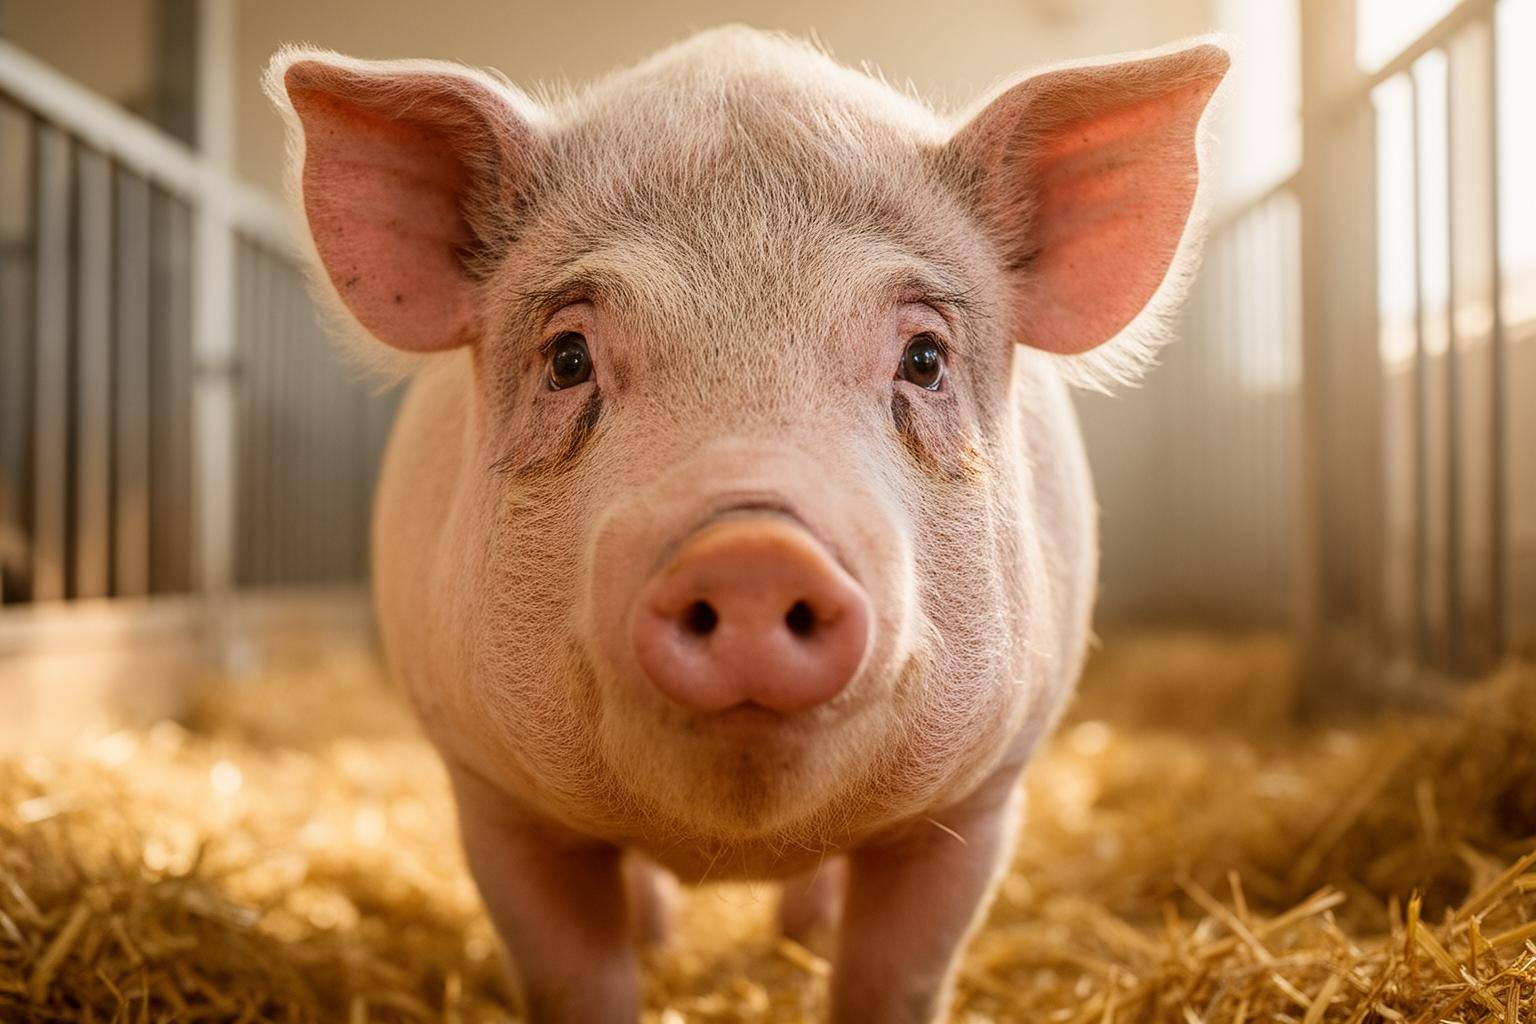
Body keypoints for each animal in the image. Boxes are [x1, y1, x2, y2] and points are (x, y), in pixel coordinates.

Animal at [265, 26, 1227, 1022]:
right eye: (568, 358)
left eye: (925, 358)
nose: (753, 552)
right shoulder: (493, 798)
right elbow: (576, 975)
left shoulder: (978, 801)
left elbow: (897, 975)